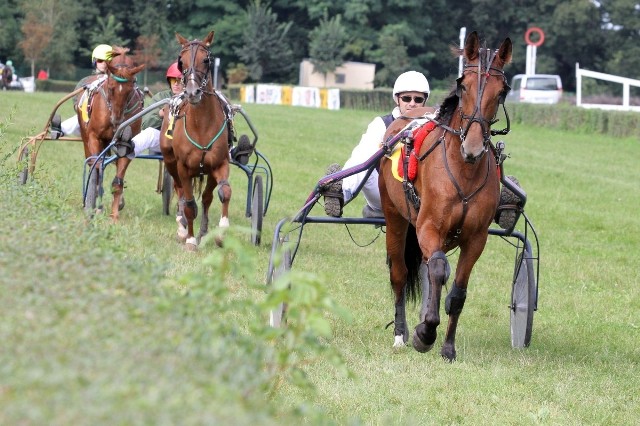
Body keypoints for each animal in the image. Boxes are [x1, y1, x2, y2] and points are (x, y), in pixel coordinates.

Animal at [77, 46, 144, 221]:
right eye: (111, 88)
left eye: (129, 90)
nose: (117, 119)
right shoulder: (94, 137)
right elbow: (96, 169)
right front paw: (94, 205)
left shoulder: (126, 145)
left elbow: (117, 182)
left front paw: (114, 214)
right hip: (85, 137)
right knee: (93, 164)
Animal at [159, 31, 234, 251]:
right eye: (180, 62)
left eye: (206, 60)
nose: (192, 92)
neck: (201, 124)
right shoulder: (184, 167)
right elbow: (190, 204)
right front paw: (190, 240)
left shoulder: (219, 163)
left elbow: (224, 192)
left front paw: (221, 233)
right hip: (171, 162)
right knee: (181, 192)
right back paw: (183, 228)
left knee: (208, 197)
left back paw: (203, 231)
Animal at [378, 31, 512, 362]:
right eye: (463, 84)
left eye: (502, 91)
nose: (473, 147)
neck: (464, 170)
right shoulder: (429, 226)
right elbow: (437, 270)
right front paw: (424, 333)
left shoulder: (476, 238)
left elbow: (458, 292)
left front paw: (448, 347)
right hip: (395, 216)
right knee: (400, 273)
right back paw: (401, 333)